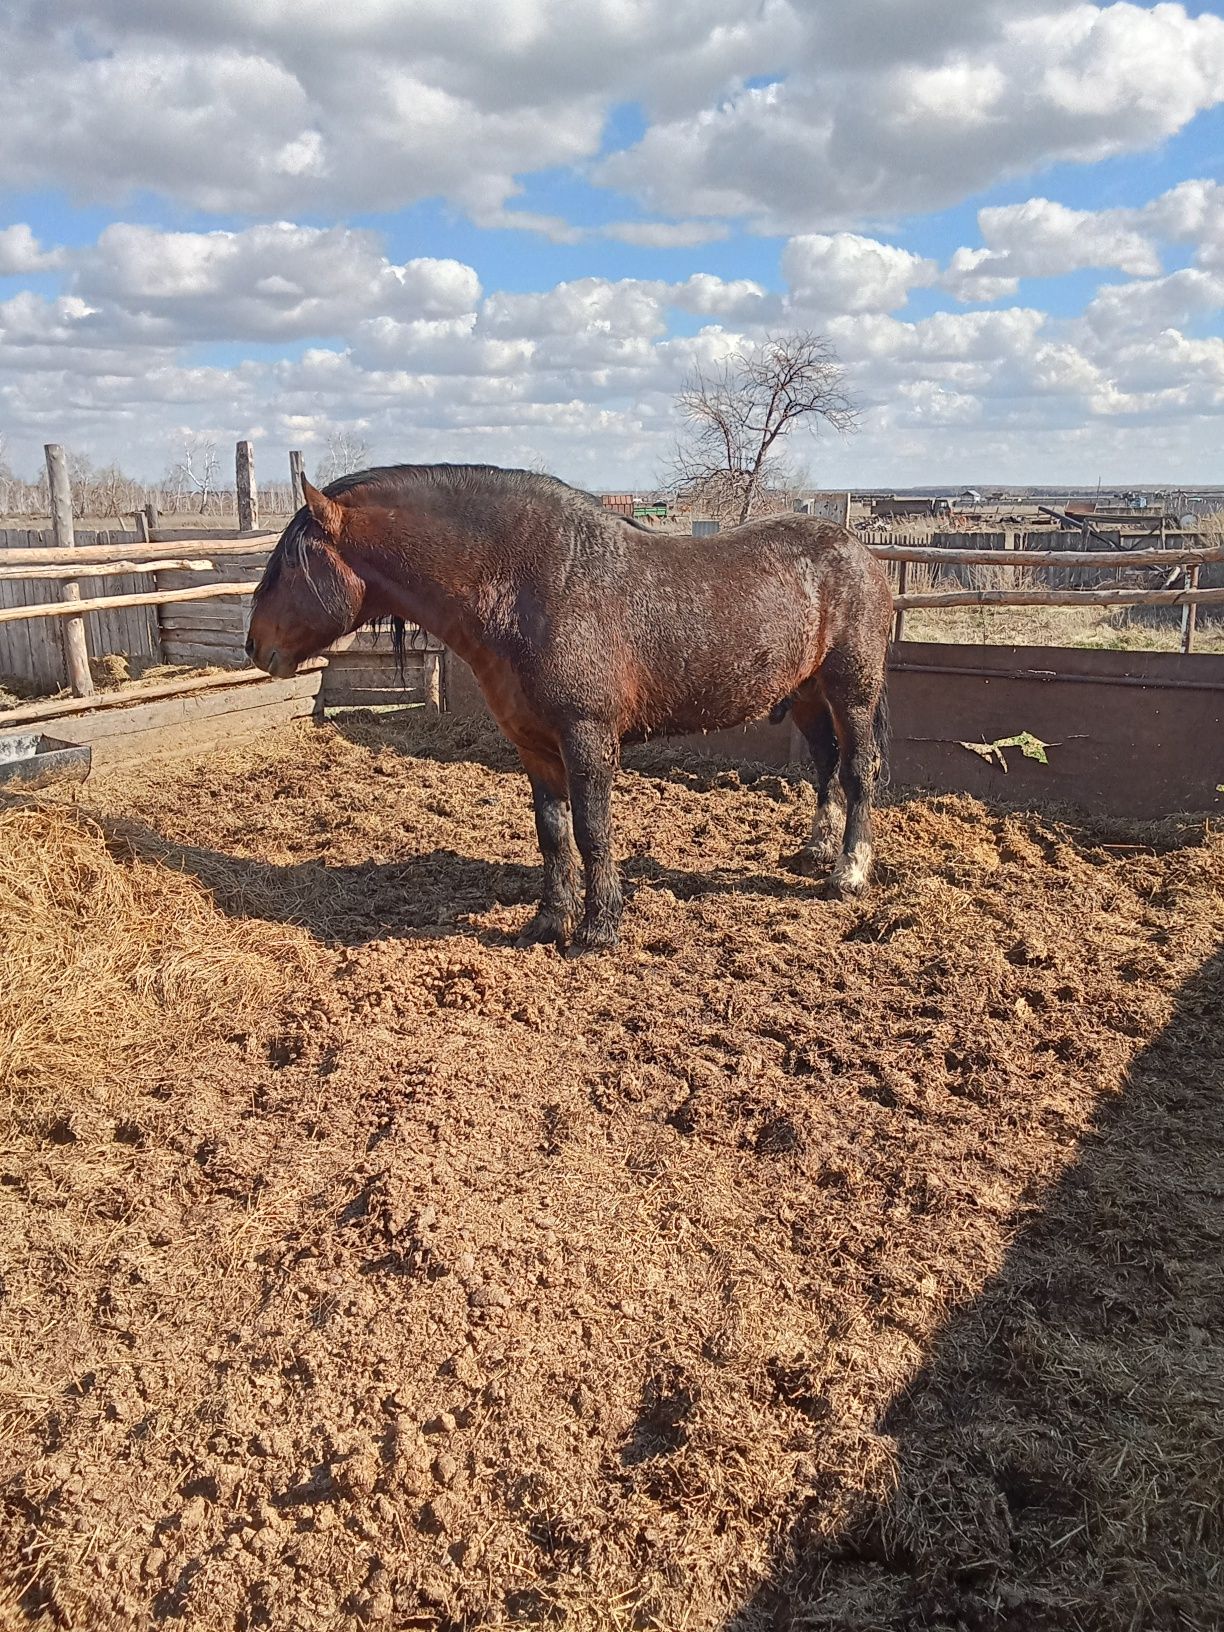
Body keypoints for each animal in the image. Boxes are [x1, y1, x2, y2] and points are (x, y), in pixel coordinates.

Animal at [246, 463, 894, 953]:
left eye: (288, 564)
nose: (254, 646)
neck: (531, 586)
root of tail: (857, 550)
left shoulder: (587, 738)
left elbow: (591, 829)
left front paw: (599, 929)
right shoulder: (534, 745)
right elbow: (553, 832)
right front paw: (549, 921)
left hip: (852, 691)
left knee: (857, 770)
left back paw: (848, 872)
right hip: (807, 694)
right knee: (824, 764)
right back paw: (816, 852)